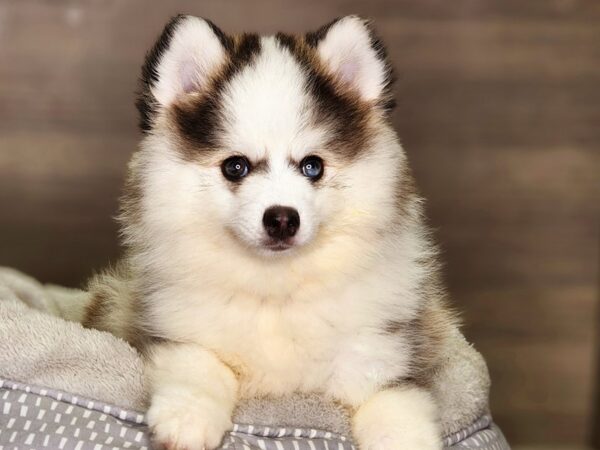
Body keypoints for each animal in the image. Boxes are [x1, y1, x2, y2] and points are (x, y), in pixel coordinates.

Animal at [83, 14, 454, 450]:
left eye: (312, 166)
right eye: (235, 166)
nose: (281, 218)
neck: (276, 292)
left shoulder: (388, 354)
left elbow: (395, 409)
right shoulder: (168, 327)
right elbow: (200, 365)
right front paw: (187, 418)